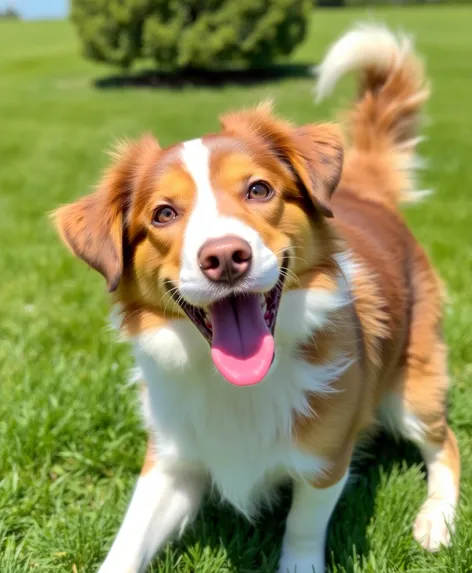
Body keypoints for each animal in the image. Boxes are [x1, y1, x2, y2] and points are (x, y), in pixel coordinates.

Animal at [53, 23, 460, 572]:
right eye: (163, 214)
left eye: (259, 189)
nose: (226, 257)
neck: (237, 384)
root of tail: (367, 195)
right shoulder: (171, 459)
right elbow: (129, 540)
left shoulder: (325, 459)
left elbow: (303, 525)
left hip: (412, 387)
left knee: (446, 442)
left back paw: (437, 518)